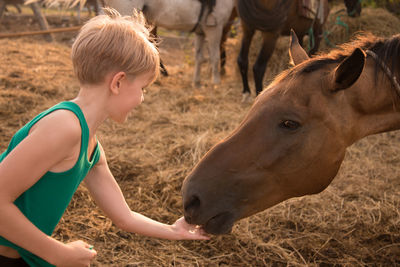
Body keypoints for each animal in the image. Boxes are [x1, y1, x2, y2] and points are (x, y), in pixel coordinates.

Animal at [103, 0, 236, 86]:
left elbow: (199, 57)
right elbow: (215, 57)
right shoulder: (214, 29)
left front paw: (197, 82)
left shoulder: (201, 32)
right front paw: (216, 82)